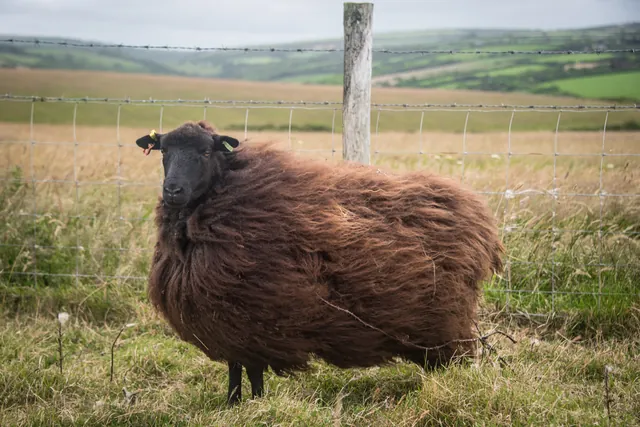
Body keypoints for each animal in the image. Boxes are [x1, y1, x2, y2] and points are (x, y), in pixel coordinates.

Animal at [135, 120, 504, 405]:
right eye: (164, 151)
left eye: (206, 152)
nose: (173, 190)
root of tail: (481, 218)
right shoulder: (234, 325)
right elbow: (238, 371)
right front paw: (235, 404)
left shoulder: (248, 323)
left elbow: (249, 372)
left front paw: (250, 405)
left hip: (447, 322)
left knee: (454, 363)